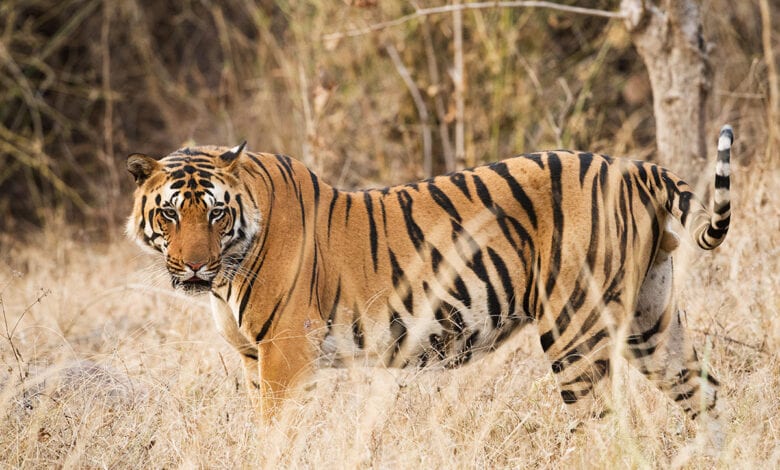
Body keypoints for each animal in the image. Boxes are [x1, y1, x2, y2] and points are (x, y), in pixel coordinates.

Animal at [126, 125, 733, 429]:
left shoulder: (285, 354)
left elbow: (274, 437)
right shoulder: (255, 359)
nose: (195, 265)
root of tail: (634, 167)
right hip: (651, 320)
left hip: (574, 330)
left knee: (603, 428)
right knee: (706, 396)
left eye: (215, 214)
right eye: (170, 215)